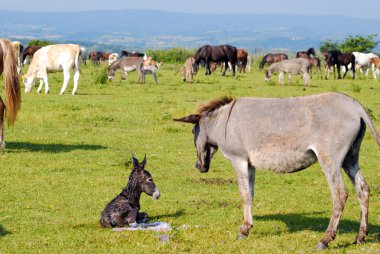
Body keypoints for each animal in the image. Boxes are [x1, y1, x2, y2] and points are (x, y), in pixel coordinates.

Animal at [175, 92, 380, 249]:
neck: (223, 122)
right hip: (350, 157)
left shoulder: (238, 159)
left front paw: (243, 230)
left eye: (193, 132)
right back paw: (360, 237)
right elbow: (250, 194)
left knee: (339, 194)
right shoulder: (250, 163)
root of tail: (355, 106)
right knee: (363, 190)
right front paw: (248, 227)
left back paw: (325, 240)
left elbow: (243, 194)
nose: (199, 167)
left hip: (330, 159)